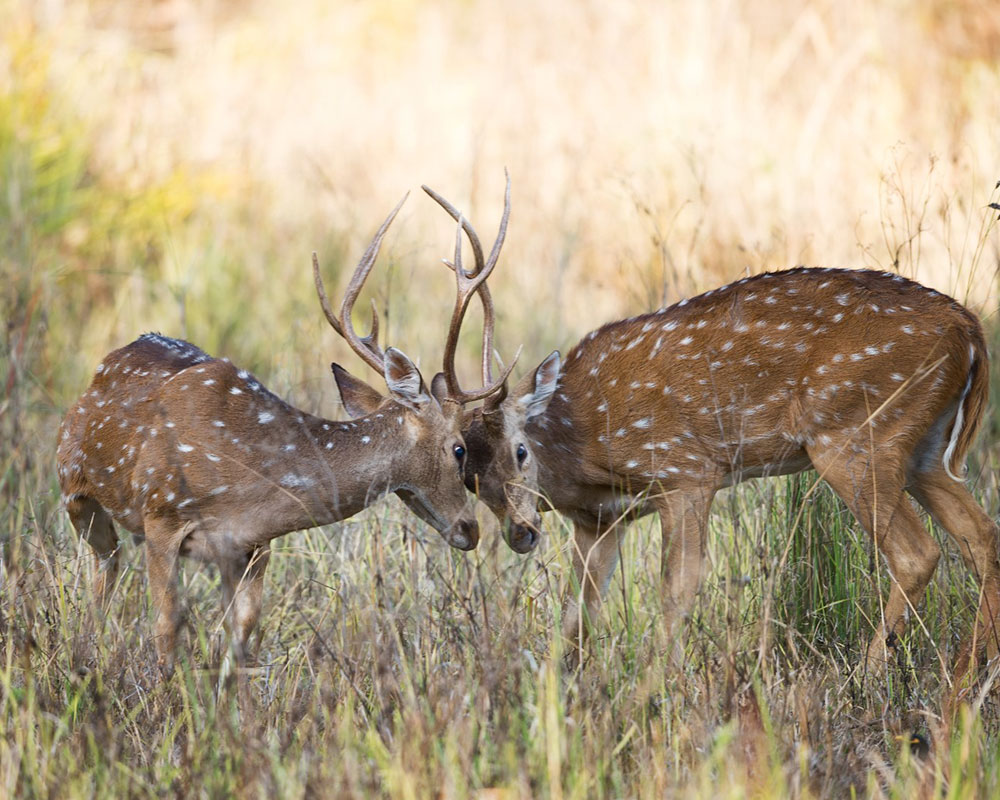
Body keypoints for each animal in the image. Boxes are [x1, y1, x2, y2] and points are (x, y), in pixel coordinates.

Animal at [54, 197, 484, 680]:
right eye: (459, 448)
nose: (471, 529)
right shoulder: (161, 514)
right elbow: (166, 632)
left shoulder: (254, 547)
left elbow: (241, 642)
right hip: (75, 488)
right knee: (103, 572)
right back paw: (87, 657)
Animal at [424, 180, 1000, 680]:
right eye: (469, 473)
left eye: (520, 451)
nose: (520, 534)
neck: (583, 449)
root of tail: (968, 330)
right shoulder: (600, 520)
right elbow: (577, 615)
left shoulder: (686, 471)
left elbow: (677, 588)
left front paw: (658, 688)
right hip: (924, 447)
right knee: (981, 537)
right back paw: (970, 672)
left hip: (855, 434)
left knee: (918, 552)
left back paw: (870, 674)